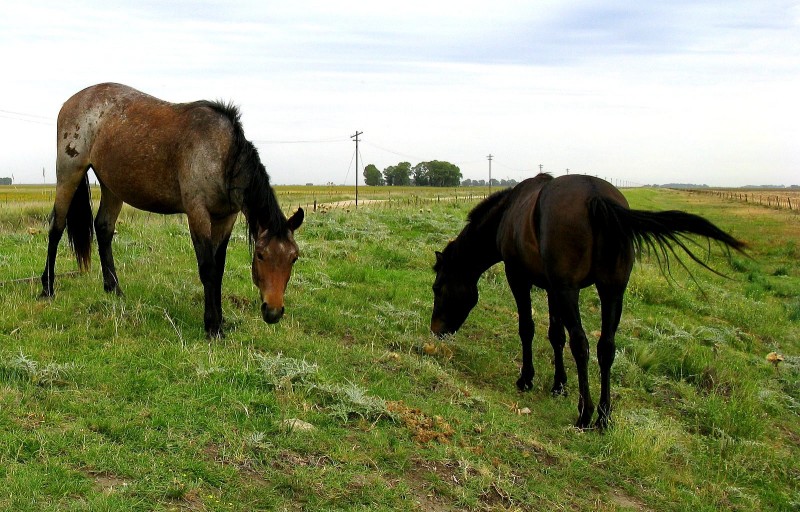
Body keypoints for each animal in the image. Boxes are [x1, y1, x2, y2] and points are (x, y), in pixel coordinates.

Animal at [40, 82, 304, 338]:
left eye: (293, 257)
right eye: (260, 255)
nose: (273, 312)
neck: (221, 155)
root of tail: (71, 101)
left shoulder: (225, 218)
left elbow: (218, 269)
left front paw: (220, 321)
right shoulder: (198, 213)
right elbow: (208, 269)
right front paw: (212, 327)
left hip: (112, 185)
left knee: (103, 229)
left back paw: (113, 289)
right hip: (69, 174)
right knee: (56, 227)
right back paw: (47, 287)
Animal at [428, 174, 748, 430]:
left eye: (438, 287)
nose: (436, 329)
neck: (508, 214)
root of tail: (596, 197)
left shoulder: (521, 279)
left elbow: (529, 329)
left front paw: (527, 379)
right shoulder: (553, 289)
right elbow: (555, 335)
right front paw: (559, 385)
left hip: (571, 290)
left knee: (581, 344)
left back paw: (585, 414)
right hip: (611, 291)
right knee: (606, 347)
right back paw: (604, 417)